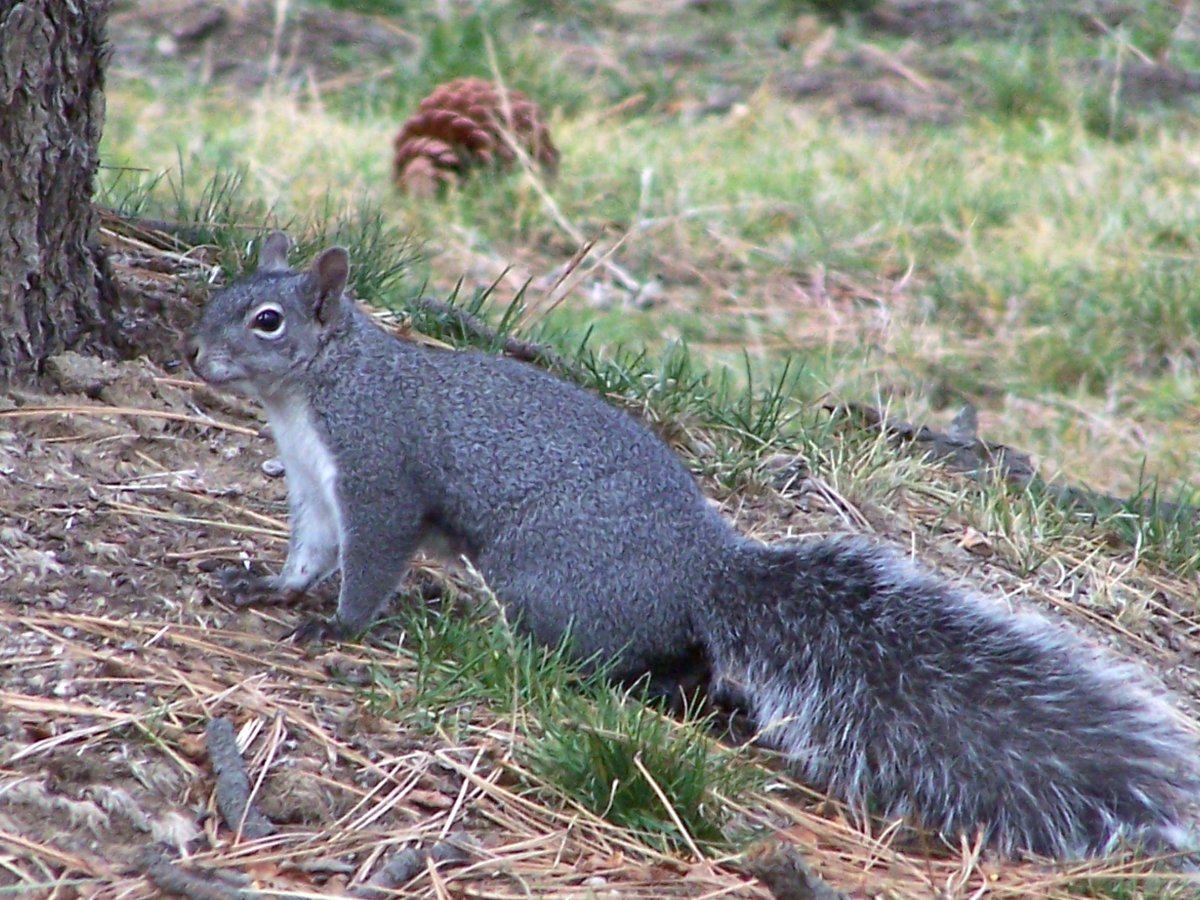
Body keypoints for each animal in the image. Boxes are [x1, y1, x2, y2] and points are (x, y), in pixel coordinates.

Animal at [184, 232, 1200, 861]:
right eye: (223, 295)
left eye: (268, 321)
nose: (196, 355)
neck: (318, 391)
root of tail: (703, 575)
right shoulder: (315, 486)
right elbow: (309, 553)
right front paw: (270, 589)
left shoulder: (379, 475)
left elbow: (372, 560)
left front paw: (341, 628)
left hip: (545, 574)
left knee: (625, 665)